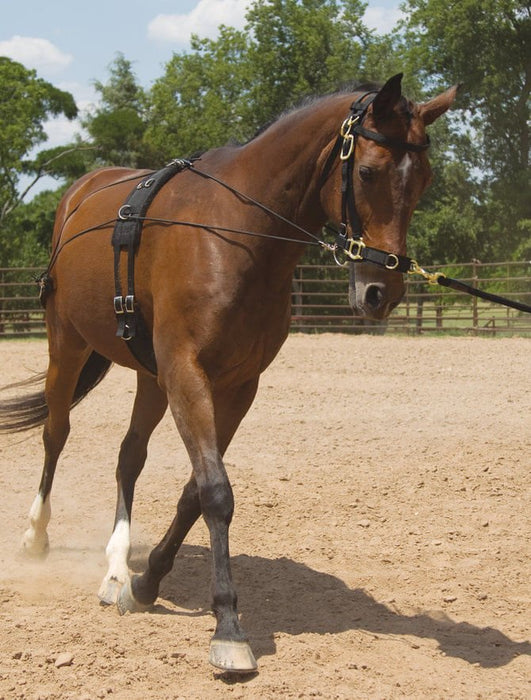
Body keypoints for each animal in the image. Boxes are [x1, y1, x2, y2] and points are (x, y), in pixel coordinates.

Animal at [0, 74, 457, 673]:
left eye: (424, 179)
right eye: (368, 172)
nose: (382, 292)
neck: (238, 232)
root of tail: (80, 194)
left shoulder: (237, 386)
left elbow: (194, 492)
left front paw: (145, 585)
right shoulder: (188, 372)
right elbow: (215, 491)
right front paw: (229, 628)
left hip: (150, 377)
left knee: (129, 457)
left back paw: (117, 569)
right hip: (67, 344)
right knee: (56, 434)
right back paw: (35, 538)